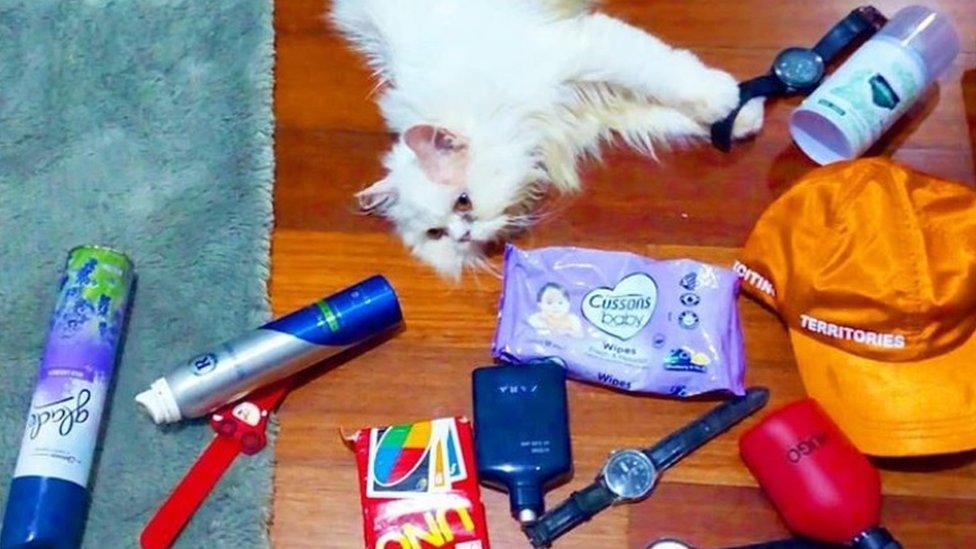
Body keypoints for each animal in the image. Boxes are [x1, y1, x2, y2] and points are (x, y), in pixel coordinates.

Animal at [332, 0, 768, 276]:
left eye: (463, 202)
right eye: (436, 235)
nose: (463, 235)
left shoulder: (579, 52)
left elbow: (666, 75)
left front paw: (731, 102)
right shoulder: (593, 110)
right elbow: (664, 114)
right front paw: (740, 117)